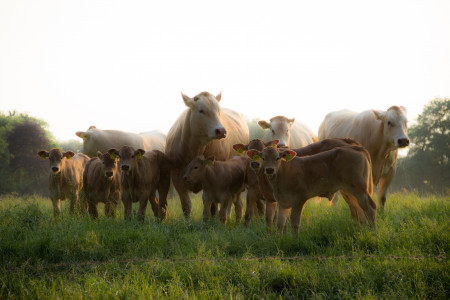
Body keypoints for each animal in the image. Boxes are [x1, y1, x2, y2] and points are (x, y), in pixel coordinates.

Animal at [246, 145, 376, 234]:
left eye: (277, 158)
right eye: (263, 158)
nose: (269, 169)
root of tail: (354, 148)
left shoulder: (299, 199)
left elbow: (295, 222)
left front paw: (295, 240)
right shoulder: (283, 202)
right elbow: (280, 223)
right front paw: (279, 240)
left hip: (360, 189)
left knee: (370, 208)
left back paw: (373, 231)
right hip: (349, 192)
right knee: (359, 211)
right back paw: (363, 230)